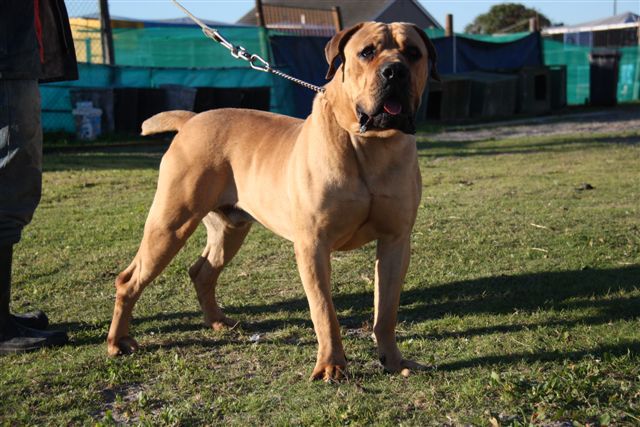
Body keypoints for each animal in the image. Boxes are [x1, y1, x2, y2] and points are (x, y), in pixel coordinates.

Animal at [107, 21, 440, 382]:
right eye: (367, 52)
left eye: (413, 53)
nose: (395, 71)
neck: (372, 144)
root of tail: (192, 120)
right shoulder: (313, 245)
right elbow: (324, 311)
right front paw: (331, 364)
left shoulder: (396, 242)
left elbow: (386, 311)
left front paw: (394, 360)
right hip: (170, 225)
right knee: (129, 279)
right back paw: (118, 341)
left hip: (230, 229)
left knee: (202, 272)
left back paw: (217, 322)